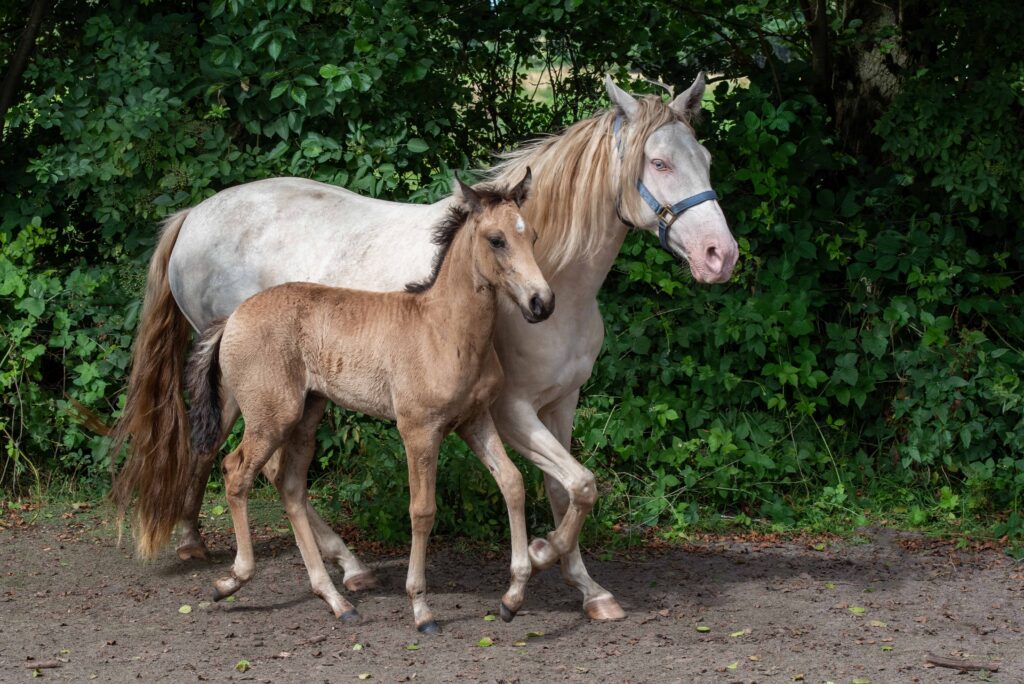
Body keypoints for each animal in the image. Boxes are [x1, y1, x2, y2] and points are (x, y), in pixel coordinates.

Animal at [184, 169, 552, 630]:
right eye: (496, 239)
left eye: (532, 235)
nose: (542, 302)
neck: (444, 329)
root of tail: (231, 317)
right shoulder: (418, 429)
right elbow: (422, 510)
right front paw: (421, 608)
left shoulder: (474, 420)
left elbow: (513, 483)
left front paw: (513, 596)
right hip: (272, 415)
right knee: (236, 472)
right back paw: (233, 579)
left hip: (306, 413)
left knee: (289, 485)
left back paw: (337, 600)